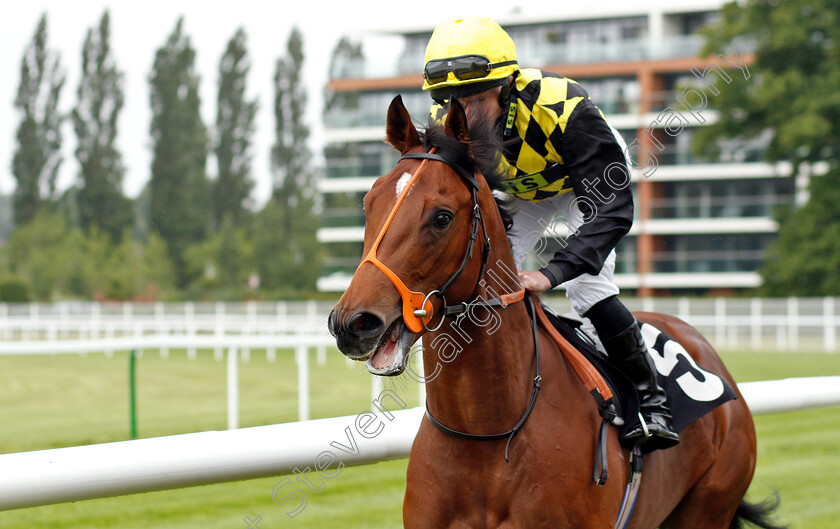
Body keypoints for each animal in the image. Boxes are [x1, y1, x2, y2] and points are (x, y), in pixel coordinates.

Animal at [326, 96, 780, 528]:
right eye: (368, 205)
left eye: (441, 217)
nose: (352, 323)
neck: (486, 436)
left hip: (710, 505)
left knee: (596, 292)